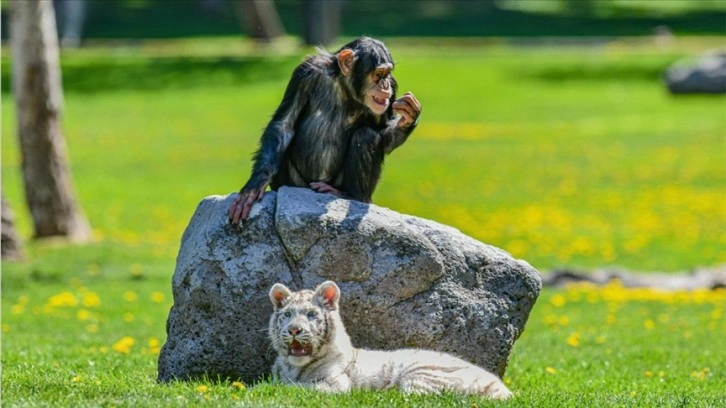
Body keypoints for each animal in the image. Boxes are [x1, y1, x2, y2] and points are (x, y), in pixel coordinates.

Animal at [228, 36, 420, 225]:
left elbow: (384, 138)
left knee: (366, 136)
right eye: (378, 74)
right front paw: (253, 188)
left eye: (388, 74)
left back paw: (350, 195)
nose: (386, 84)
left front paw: (409, 117)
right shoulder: (305, 72)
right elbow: (283, 125)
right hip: (298, 185)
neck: (344, 87)